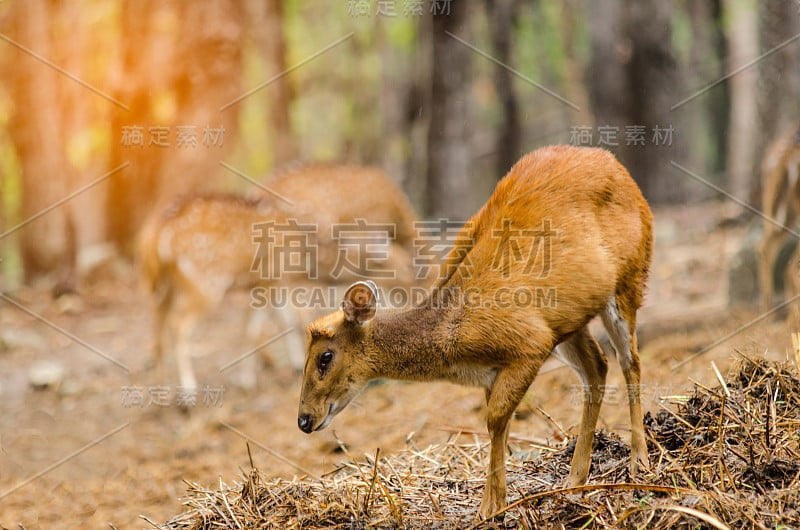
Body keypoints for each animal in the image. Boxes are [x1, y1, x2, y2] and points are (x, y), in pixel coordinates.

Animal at [136, 163, 418, 390]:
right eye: (406, 268)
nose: (415, 293)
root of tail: (156, 236)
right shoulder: (271, 280)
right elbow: (266, 325)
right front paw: (248, 381)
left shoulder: (269, 282)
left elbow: (280, 320)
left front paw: (287, 366)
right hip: (205, 284)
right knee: (178, 324)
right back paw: (187, 393)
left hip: (161, 285)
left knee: (158, 321)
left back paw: (159, 387)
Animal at [296, 144, 652, 516]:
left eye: (324, 357)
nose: (304, 420)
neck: (451, 334)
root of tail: (620, 170)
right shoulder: (501, 366)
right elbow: (500, 425)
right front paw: (498, 501)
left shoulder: (529, 344)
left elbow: (494, 419)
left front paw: (489, 508)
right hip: (568, 321)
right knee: (597, 366)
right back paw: (575, 479)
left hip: (629, 280)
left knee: (630, 362)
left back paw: (639, 461)